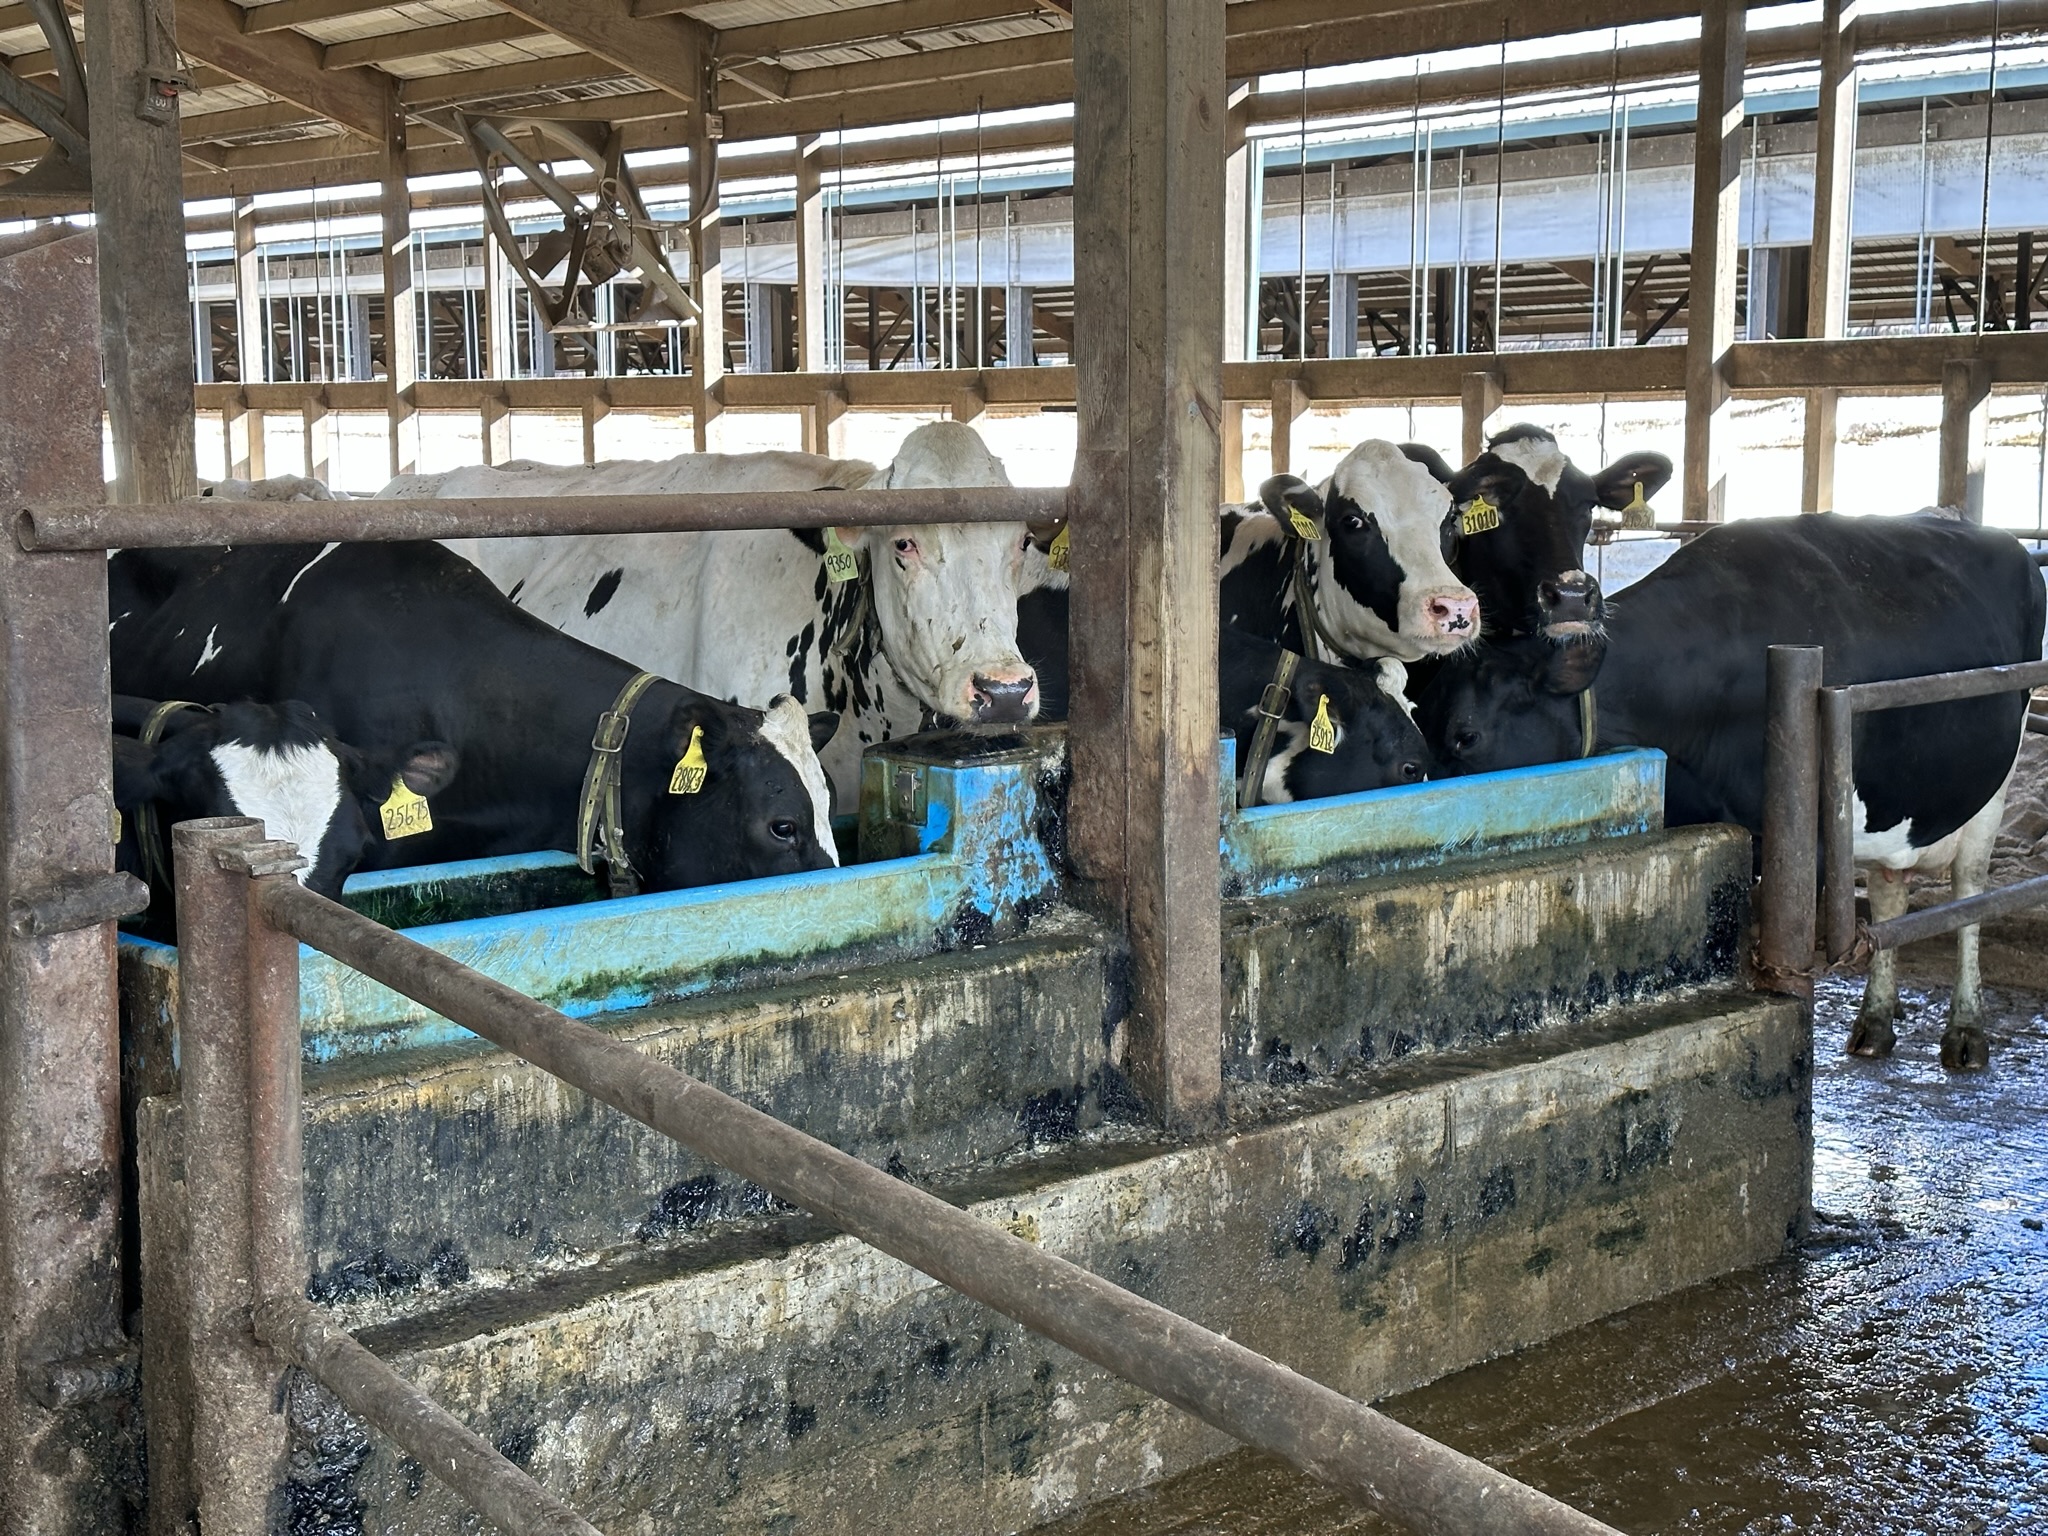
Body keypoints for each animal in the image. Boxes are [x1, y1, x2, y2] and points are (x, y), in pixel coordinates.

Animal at [1417, 518, 2039, 1073]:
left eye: (1466, 736)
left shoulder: (1806, 842)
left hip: (1994, 784)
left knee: (1970, 890)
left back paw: (1966, 1029)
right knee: (1890, 888)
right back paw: (1876, 1023)